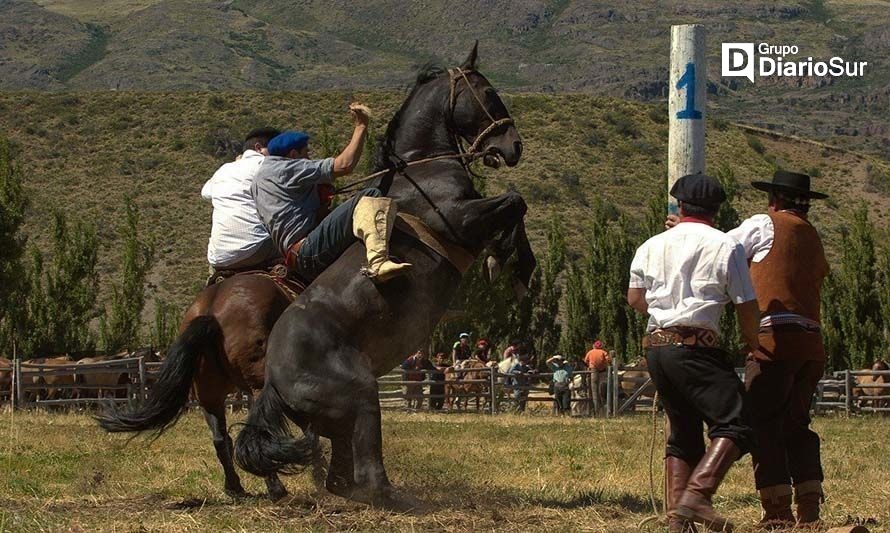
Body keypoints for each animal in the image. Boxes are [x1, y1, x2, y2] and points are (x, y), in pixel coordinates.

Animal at [232, 43, 532, 504]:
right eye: (487, 91)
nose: (513, 145)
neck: (422, 167)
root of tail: (273, 383)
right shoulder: (461, 221)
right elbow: (515, 202)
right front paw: (505, 262)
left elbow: (518, 209)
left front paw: (518, 267)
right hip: (361, 393)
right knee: (368, 469)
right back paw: (395, 497)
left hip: (334, 420)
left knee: (341, 472)